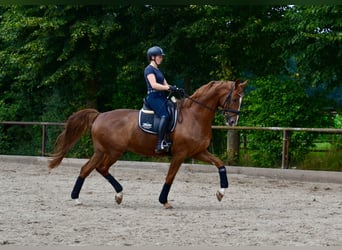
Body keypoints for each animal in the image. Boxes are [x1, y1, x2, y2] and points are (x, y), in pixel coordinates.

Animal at [48, 79, 247, 208]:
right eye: (234, 98)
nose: (232, 122)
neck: (195, 116)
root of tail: (99, 115)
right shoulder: (180, 154)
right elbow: (170, 177)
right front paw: (164, 201)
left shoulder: (198, 152)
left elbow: (220, 165)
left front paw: (221, 193)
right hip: (113, 152)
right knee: (100, 168)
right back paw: (116, 194)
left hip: (101, 151)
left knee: (87, 169)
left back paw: (80, 198)